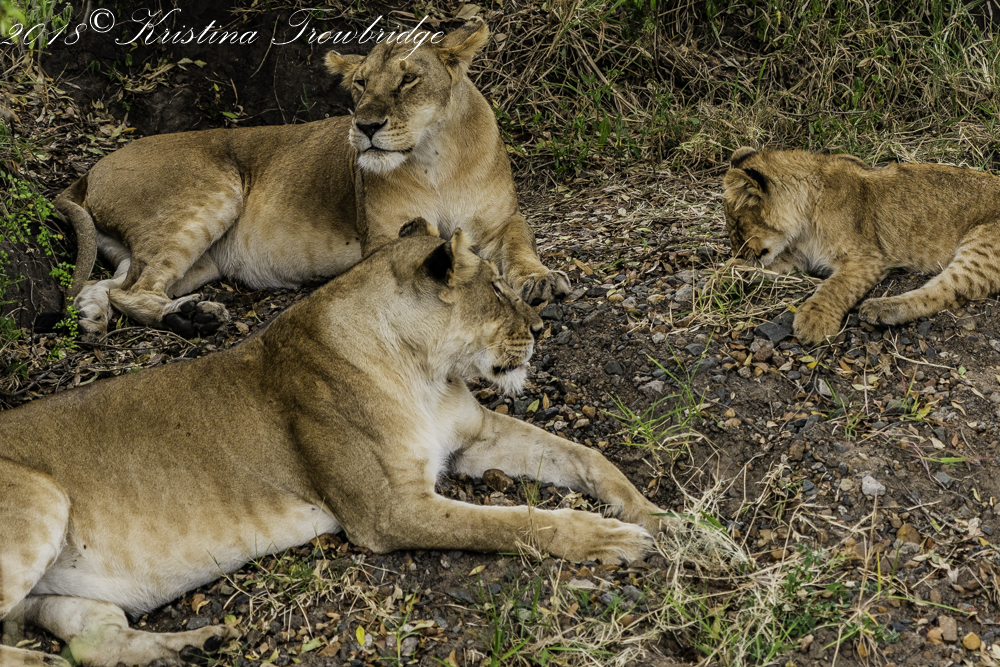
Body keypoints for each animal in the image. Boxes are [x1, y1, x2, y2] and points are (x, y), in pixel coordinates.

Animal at [0, 225, 662, 667]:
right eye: (499, 292)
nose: (542, 329)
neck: (423, 371)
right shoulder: (389, 511)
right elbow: (519, 521)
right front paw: (610, 538)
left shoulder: (472, 438)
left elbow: (585, 456)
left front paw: (658, 516)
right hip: (39, 499)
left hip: (65, 595)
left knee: (96, 642)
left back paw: (190, 647)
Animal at [56, 18, 569, 339]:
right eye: (360, 83)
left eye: (407, 80)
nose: (366, 126)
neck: (433, 158)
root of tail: (91, 169)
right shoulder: (382, 239)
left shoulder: (503, 220)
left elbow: (521, 244)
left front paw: (540, 280)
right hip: (210, 192)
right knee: (133, 290)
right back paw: (193, 319)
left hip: (193, 259)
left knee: (112, 283)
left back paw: (95, 319)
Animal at [722, 146, 1000, 344]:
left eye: (736, 227)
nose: (738, 251)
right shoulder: (800, 256)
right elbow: (760, 266)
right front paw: (725, 275)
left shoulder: (867, 259)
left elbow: (834, 288)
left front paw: (815, 319)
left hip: (981, 246)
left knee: (944, 291)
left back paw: (879, 308)